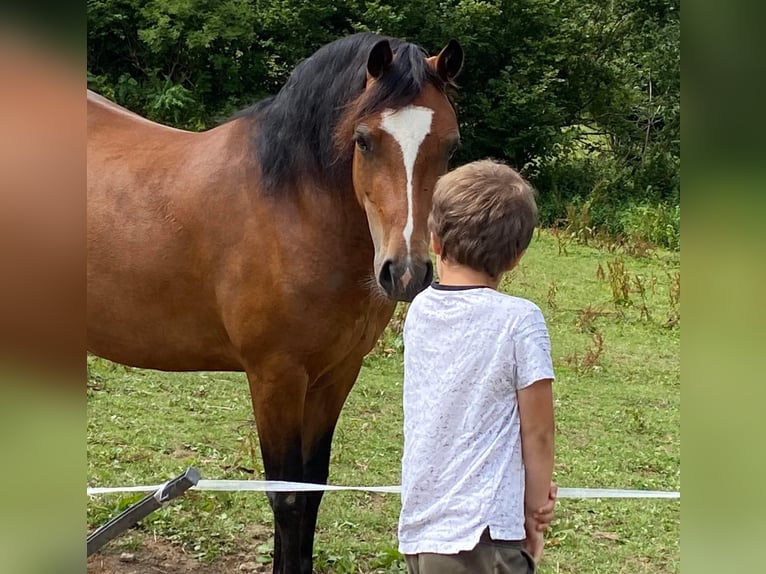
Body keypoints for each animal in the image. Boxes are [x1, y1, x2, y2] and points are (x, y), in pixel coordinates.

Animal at [88, 32, 464, 574]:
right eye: (364, 139)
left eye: (450, 145)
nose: (406, 272)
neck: (292, 208)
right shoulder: (275, 378)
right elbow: (285, 497)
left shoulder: (336, 374)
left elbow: (312, 490)